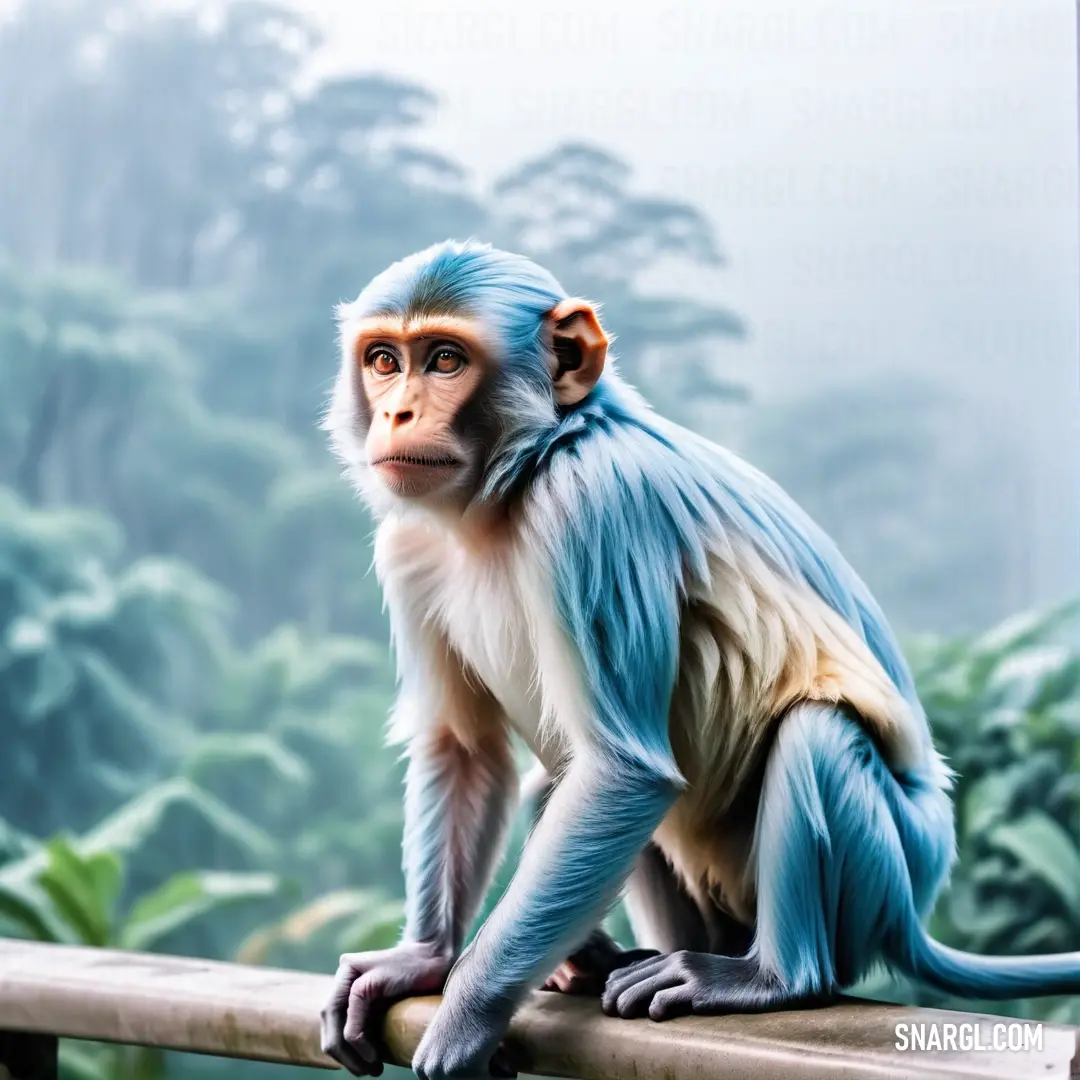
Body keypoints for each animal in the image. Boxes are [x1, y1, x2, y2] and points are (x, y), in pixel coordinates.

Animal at [317, 243, 1080, 1080]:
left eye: (446, 360)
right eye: (386, 361)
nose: (397, 414)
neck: (515, 483)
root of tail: (914, 904)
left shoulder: (593, 510)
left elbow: (625, 773)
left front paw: (466, 1013)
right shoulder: (410, 542)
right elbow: (466, 748)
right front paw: (421, 959)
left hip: (889, 864)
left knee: (814, 737)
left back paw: (773, 977)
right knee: (560, 783)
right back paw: (600, 961)